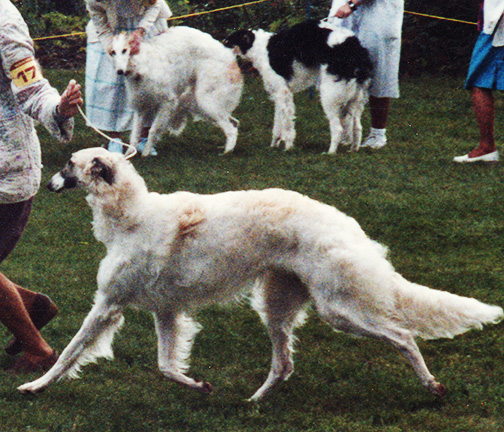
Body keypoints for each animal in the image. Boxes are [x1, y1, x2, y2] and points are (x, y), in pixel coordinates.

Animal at [17, 148, 502, 398]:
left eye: (67, 164)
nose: (48, 183)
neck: (132, 214)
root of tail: (348, 227)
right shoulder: (166, 309)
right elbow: (166, 366)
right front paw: (197, 384)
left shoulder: (109, 303)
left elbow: (69, 353)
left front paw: (35, 385)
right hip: (276, 303)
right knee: (284, 364)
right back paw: (253, 402)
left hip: (338, 308)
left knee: (402, 336)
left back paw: (431, 384)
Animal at [110, 27, 244, 156]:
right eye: (112, 53)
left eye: (124, 50)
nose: (119, 71)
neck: (142, 65)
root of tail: (231, 57)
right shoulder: (141, 106)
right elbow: (135, 135)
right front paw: (128, 155)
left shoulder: (167, 102)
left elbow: (152, 131)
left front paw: (146, 153)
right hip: (201, 105)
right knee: (234, 122)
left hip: (205, 101)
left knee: (231, 130)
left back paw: (226, 153)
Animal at [226, 20, 372, 155]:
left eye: (227, 41)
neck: (259, 47)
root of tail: (355, 48)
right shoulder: (279, 94)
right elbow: (277, 124)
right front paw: (273, 145)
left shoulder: (283, 92)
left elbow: (287, 125)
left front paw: (288, 147)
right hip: (357, 98)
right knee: (357, 127)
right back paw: (353, 149)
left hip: (329, 95)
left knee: (338, 129)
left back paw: (330, 152)